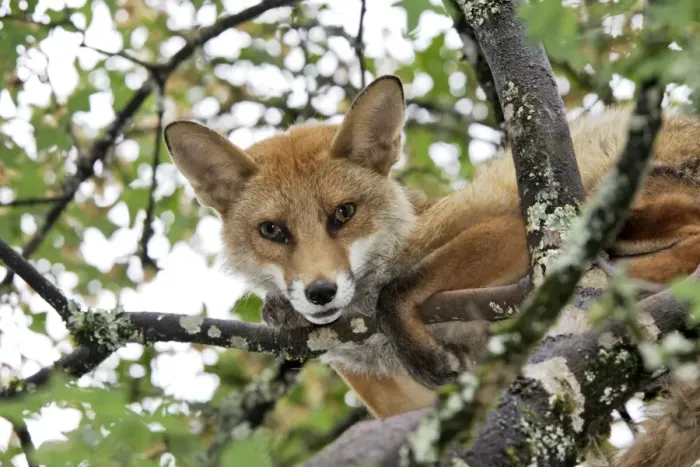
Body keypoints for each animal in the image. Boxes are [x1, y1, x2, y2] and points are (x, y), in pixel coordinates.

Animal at [164, 75, 700, 465]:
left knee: (689, 241)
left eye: (343, 214)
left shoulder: (506, 225)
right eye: (273, 230)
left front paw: (418, 342)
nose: (319, 292)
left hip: (604, 191)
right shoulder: (406, 409)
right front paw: (283, 310)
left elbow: (399, 288)